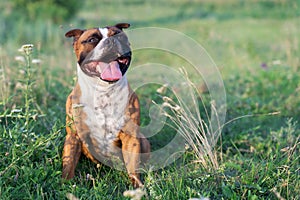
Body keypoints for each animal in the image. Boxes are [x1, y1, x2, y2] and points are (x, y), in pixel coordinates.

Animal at [61, 23, 150, 188]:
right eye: (92, 39)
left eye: (119, 36)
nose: (111, 41)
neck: (104, 92)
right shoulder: (74, 136)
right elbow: (68, 164)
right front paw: (65, 184)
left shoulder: (131, 136)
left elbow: (133, 165)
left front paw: (137, 185)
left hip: (143, 140)